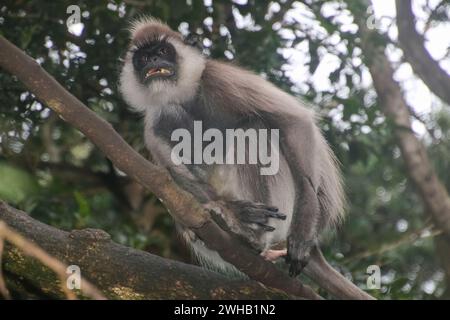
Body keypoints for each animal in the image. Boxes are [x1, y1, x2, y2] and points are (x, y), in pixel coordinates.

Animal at [118, 16, 344, 278]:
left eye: (163, 51)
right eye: (143, 58)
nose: (153, 60)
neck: (189, 94)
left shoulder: (220, 78)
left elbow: (295, 121)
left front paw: (302, 231)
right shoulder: (151, 118)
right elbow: (165, 174)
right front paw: (235, 212)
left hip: (283, 208)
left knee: (252, 128)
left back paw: (254, 237)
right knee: (168, 115)